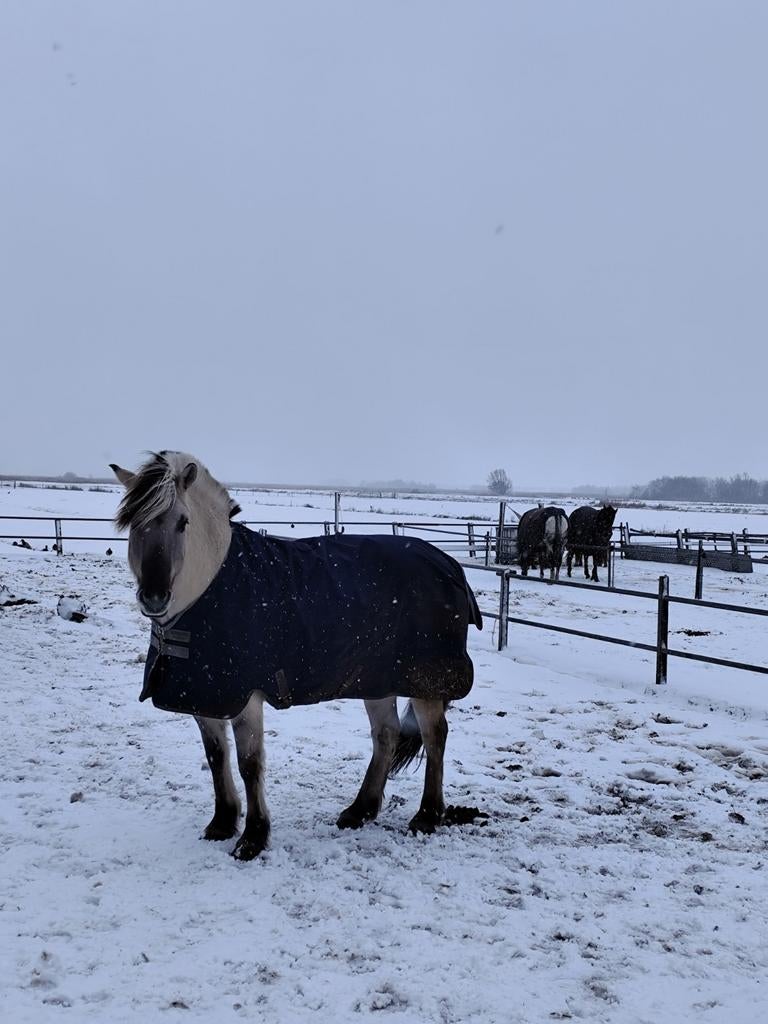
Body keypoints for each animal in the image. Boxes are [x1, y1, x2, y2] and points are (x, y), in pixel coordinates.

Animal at [111, 451, 483, 860]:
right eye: (133, 523)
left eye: (182, 522)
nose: (154, 597)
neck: (210, 588)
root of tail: (450, 564)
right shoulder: (204, 696)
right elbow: (216, 756)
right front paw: (222, 822)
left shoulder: (245, 697)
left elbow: (249, 764)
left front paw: (253, 837)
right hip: (376, 678)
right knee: (386, 733)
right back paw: (360, 810)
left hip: (426, 680)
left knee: (434, 736)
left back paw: (427, 816)